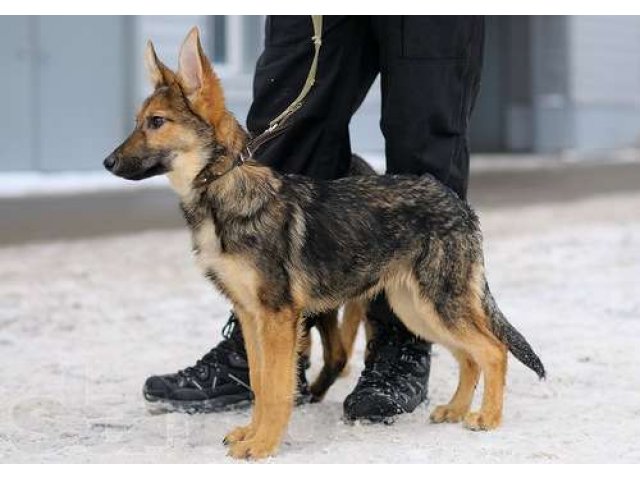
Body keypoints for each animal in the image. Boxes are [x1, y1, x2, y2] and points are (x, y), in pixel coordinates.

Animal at [105, 28, 544, 460]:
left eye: (156, 122)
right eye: (139, 122)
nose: (108, 163)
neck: (225, 188)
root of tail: (459, 203)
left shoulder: (278, 318)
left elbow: (277, 389)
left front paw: (263, 445)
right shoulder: (250, 316)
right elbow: (260, 384)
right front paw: (251, 434)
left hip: (437, 305)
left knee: (493, 351)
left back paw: (487, 418)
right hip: (416, 310)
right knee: (469, 356)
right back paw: (455, 409)